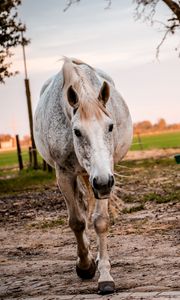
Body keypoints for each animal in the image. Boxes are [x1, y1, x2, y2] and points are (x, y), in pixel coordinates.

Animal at [33, 56, 132, 296]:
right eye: (76, 131)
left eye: (110, 126)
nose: (103, 182)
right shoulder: (64, 174)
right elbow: (77, 222)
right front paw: (85, 266)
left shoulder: (105, 175)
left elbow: (100, 222)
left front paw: (105, 276)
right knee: (80, 205)